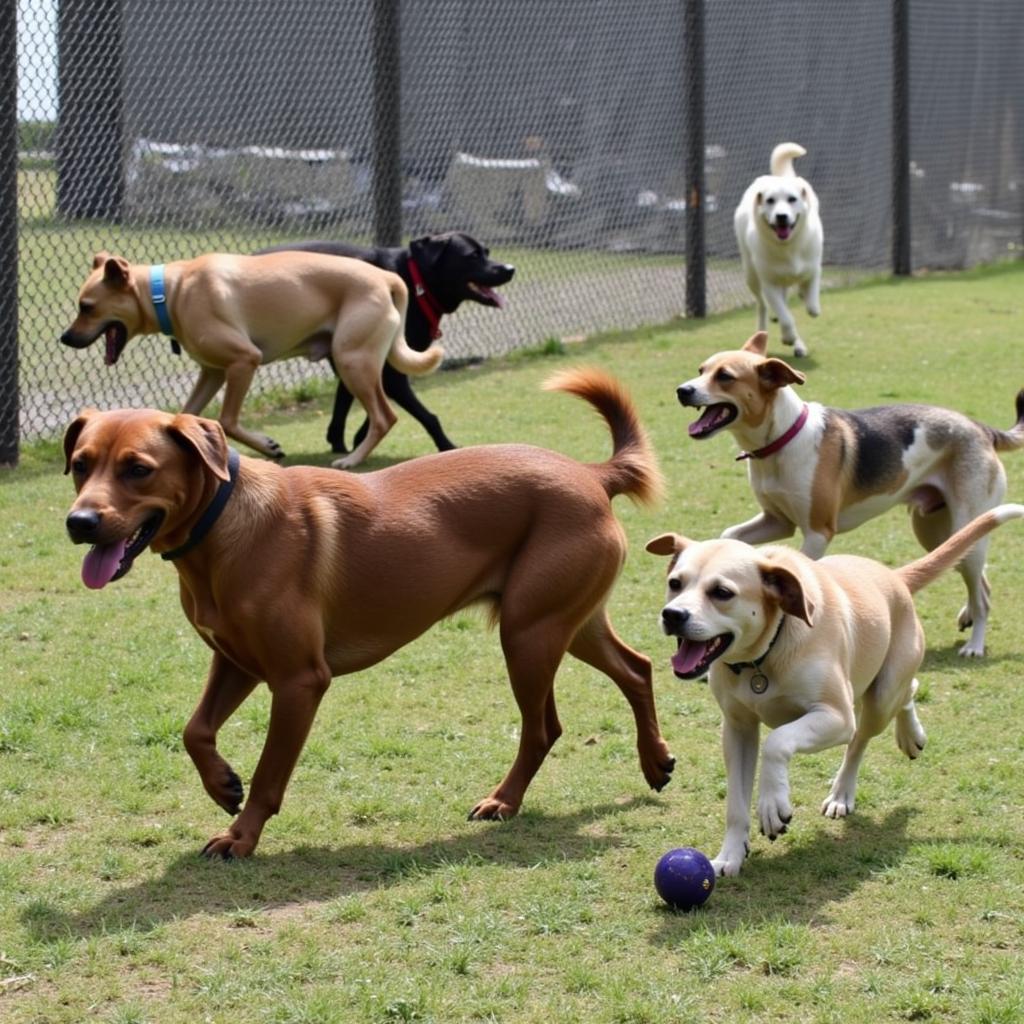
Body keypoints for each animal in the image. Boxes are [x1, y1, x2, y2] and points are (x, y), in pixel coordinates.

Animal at [58, 251, 438, 468]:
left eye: (86, 307)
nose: (64, 338)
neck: (169, 292)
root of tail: (386, 277)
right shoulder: (212, 372)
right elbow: (188, 413)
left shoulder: (244, 361)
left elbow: (227, 420)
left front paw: (269, 447)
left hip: (352, 361)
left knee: (384, 417)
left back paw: (352, 459)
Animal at [61, 366, 671, 856]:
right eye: (80, 464)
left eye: (137, 469)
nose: (79, 522)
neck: (223, 525)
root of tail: (592, 473)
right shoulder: (236, 661)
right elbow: (195, 730)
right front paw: (222, 784)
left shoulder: (298, 680)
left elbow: (269, 772)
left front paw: (242, 835)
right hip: (565, 623)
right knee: (636, 669)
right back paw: (655, 761)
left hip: (529, 633)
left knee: (544, 727)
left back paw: (504, 800)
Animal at [647, 499, 1024, 876]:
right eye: (675, 583)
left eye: (722, 593)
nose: (672, 614)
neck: (764, 656)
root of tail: (895, 577)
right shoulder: (738, 729)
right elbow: (736, 804)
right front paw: (730, 856)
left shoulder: (836, 716)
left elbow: (777, 741)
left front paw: (772, 805)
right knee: (906, 692)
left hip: (879, 699)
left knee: (873, 725)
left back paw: (859, 779)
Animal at [737, 140, 823, 356]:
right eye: (770, 201)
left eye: (792, 199)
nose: (781, 216)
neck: (788, 247)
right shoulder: (770, 285)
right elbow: (786, 317)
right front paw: (788, 336)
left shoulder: (813, 269)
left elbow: (812, 305)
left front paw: (806, 297)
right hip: (752, 277)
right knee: (763, 306)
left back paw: (799, 345)